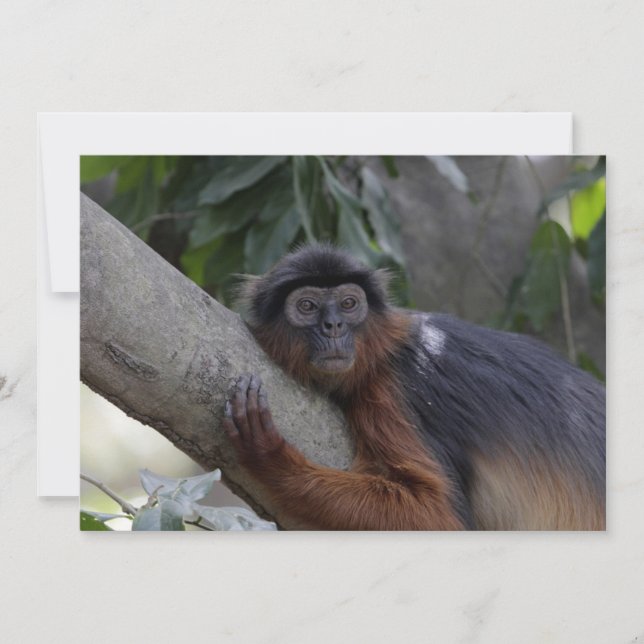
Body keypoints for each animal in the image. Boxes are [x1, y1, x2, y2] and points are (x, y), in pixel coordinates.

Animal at [222, 244, 605, 530]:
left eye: (348, 304)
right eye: (307, 306)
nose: (333, 326)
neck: (384, 352)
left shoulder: (393, 390)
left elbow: (440, 517)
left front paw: (267, 453)